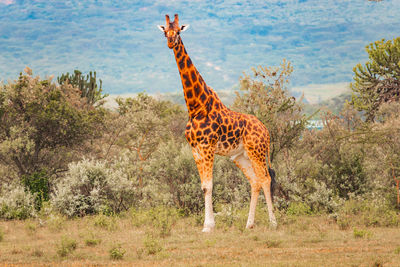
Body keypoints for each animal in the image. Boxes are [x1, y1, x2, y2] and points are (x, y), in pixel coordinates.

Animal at [158, 14, 276, 232]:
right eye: (165, 32)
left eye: (178, 31)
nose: (170, 42)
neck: (196, 107)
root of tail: (266, 131)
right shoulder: (195, 149)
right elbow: (204, 186)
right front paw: (207, 225)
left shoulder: (207, 147)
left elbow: (209, 186)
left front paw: (208, 226)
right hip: (240, 156)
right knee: (255, 182)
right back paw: (249, 224)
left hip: (257, 151)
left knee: (266, 179)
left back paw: (273, 223)